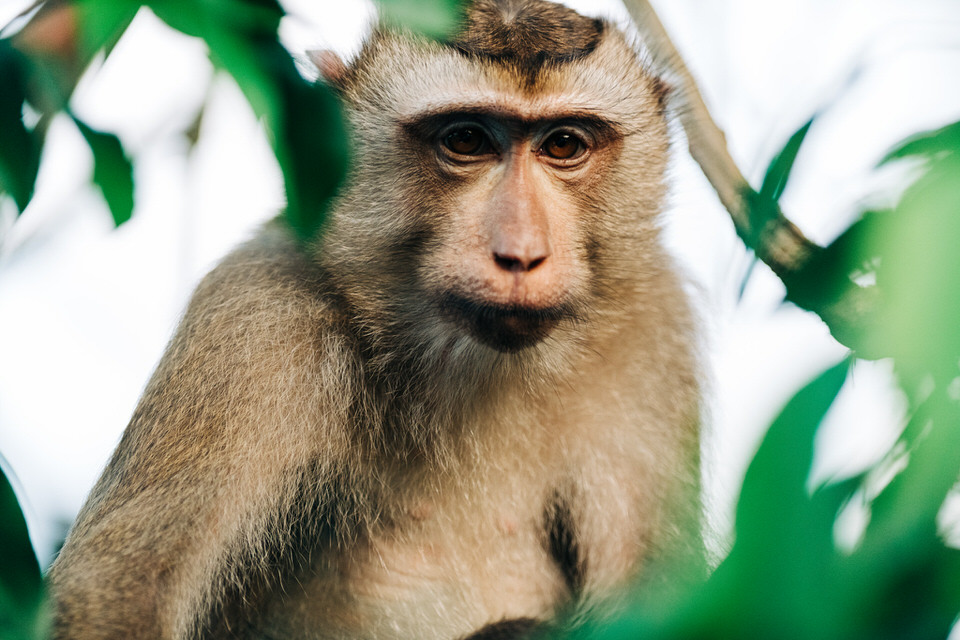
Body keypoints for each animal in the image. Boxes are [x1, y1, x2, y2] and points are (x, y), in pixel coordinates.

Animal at [47, 1, 703, 638]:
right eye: (467, 140)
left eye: (564, 145)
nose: (520, 254)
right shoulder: (254, 319)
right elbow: (118, 593)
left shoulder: (650, 329)